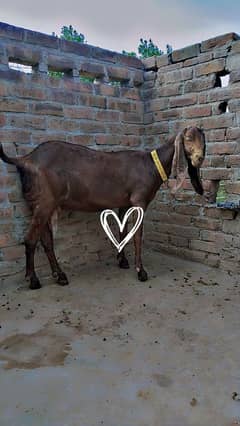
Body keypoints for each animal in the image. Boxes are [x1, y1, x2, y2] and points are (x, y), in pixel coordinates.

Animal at [0, 126, 205, 290]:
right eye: (188, 138)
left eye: (204, 140)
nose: (199, 158)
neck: (152, 165)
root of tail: (26, 159)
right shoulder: (139, 201)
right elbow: (137, 236)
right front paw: (141, 271)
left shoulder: (124, 203)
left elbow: (123, 231)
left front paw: (122, 261)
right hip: (44, 201)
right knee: (30, 239)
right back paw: (34, 280)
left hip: (39, 204)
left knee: (46, 241)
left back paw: (59, 276)